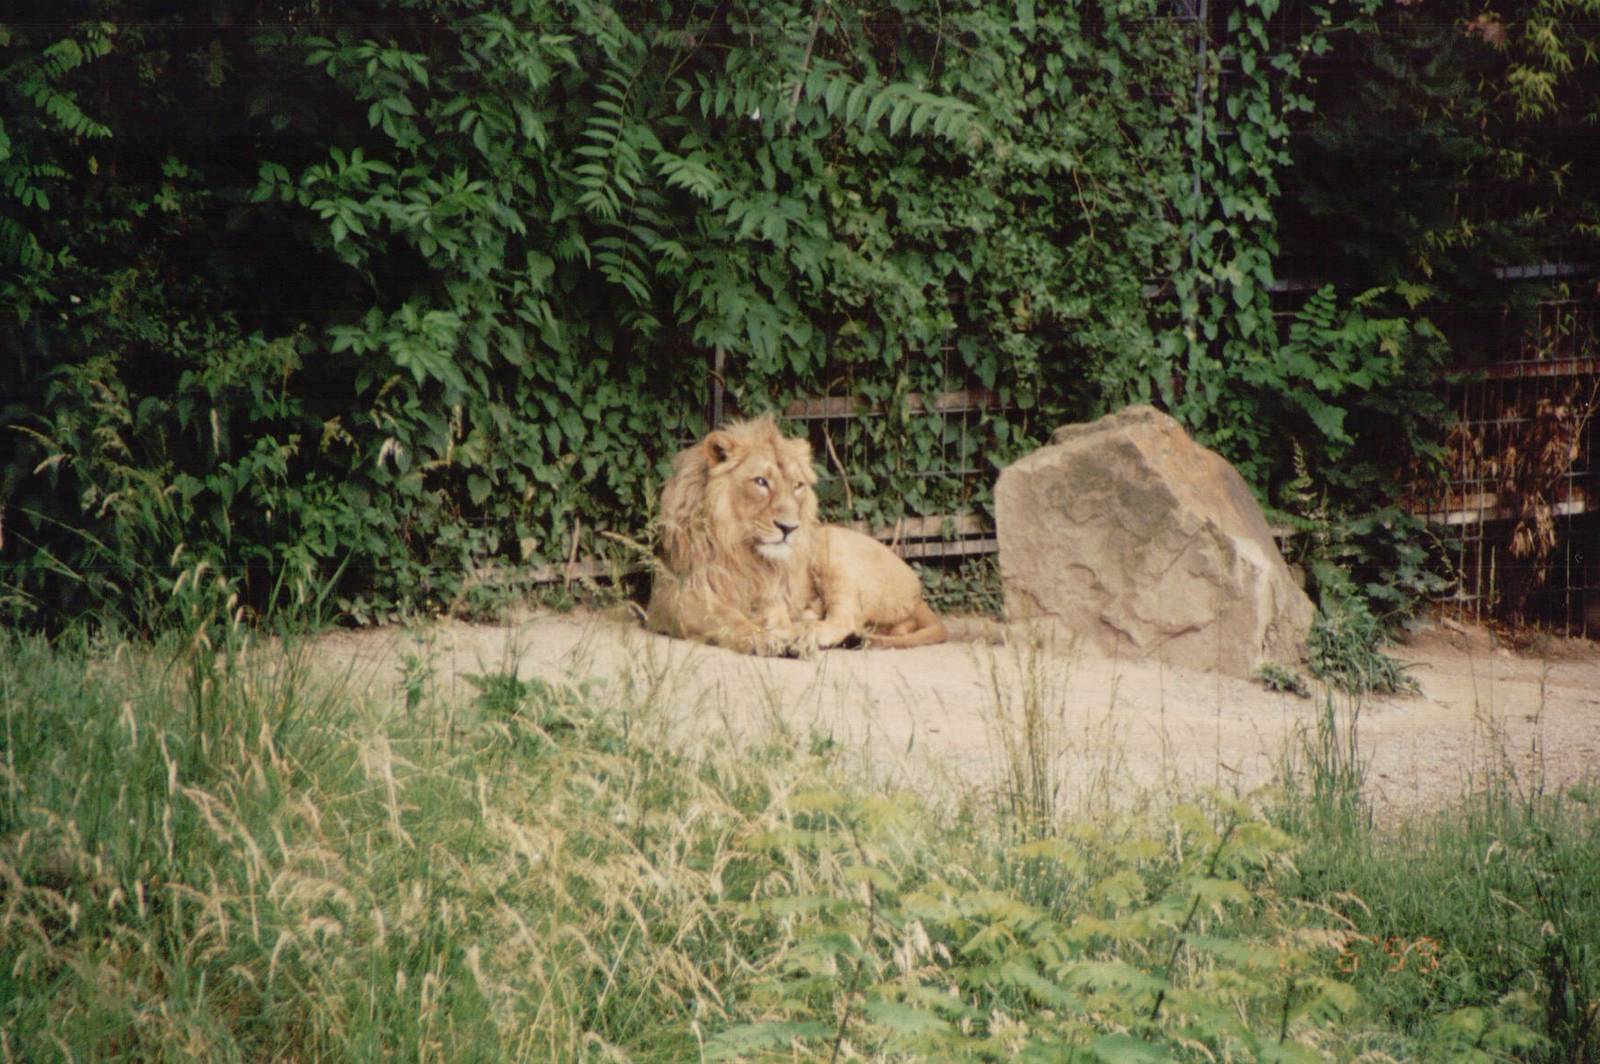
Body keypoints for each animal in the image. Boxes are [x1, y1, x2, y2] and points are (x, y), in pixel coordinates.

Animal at [646, 416, 947, 655]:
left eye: (798, 485)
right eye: (761, 482)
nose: (789, 528)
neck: (739, 547)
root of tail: (918, 591)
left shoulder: (771, 592)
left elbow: (773, 616)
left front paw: (785, 634)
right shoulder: (671, 594)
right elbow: (724, 616)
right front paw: (763, 638)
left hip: (833, 546)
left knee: (846, 618)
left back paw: (809, 632)